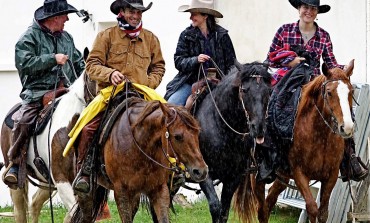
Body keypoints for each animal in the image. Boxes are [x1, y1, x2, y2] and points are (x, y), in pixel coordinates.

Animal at [71, 97, 208, 223]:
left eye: (197, 133)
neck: (140, 145)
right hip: (87, 193)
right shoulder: (122, 191)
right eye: (178, 136)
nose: (201, 171)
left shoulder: (159, 189)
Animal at [194, 61, 272, 223]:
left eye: (268, 90)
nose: (259, 128)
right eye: (244, 90)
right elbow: (215, 207)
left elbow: (224, 212)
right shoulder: (202, 174)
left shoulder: (233, 178)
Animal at [254, 59, 356, 223]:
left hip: (282, 176)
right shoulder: (300, 173)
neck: (320, 137)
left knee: (269, 201)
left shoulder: (331, 176)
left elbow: (323, 213)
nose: (346, 127)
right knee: (261, 209)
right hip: (256, 175)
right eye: (329, 92)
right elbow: (312, 209)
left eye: (351, 92)